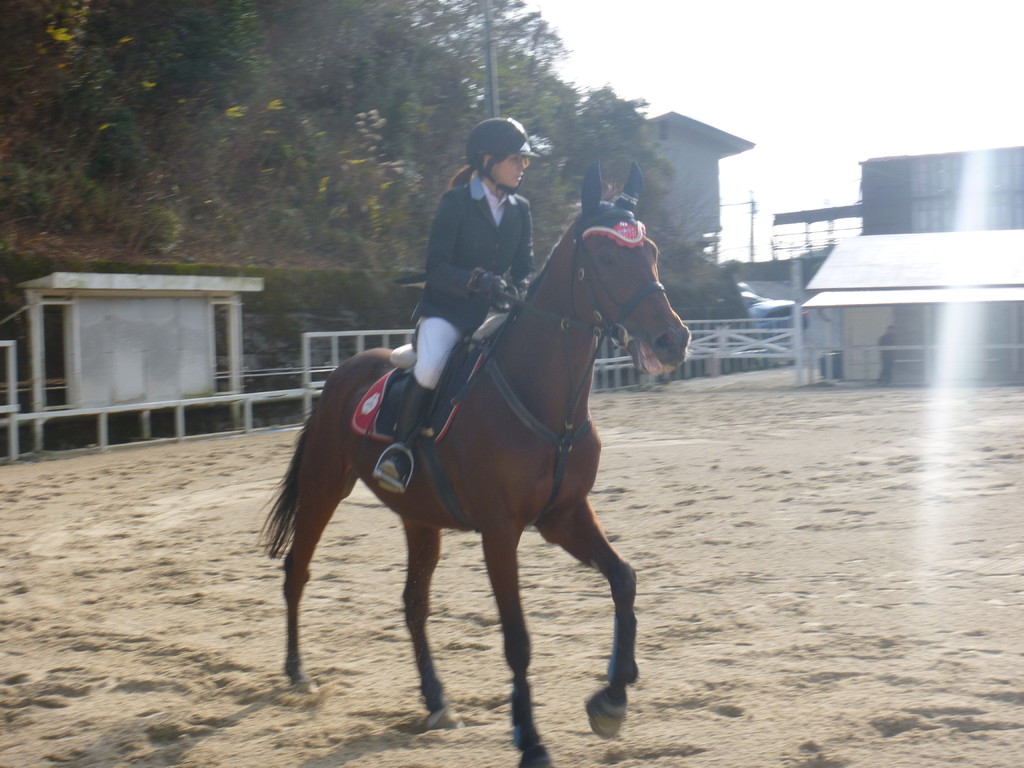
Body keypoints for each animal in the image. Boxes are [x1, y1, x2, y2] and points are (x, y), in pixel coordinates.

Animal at [260, 163, 692, 768]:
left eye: (649, 252)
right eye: (607, 258)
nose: (672, 340)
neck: (544, 401)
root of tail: (338, 375)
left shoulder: (564, 515)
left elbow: (624, 581)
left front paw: (611, 697)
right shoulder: (500, 531)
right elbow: (517, 639)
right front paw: (531, 741)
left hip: (420, 518)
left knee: (413, 604)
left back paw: (436, 700)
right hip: (324, 487)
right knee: (297, 571)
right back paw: (299, 673)